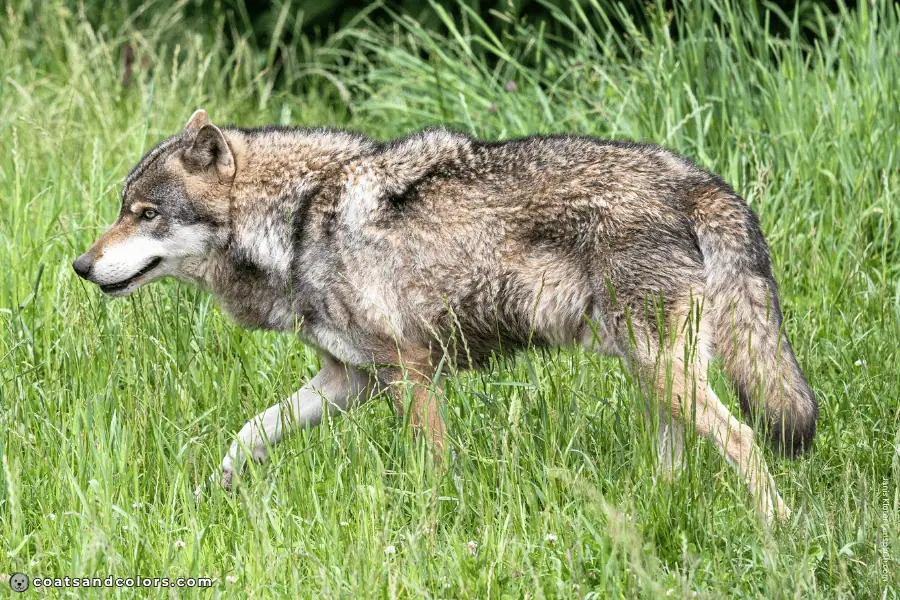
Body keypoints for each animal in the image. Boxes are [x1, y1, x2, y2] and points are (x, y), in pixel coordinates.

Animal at [73, 109, 817, 522]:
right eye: (122, 209)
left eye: (146, 214)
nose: (80, 266)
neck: (299, 221)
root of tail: (697, 180)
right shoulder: (347, 380)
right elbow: (248, 433)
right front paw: (215, 490)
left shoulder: (409, 371)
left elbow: (433, 467)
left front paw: (435, 528)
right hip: (654, 371)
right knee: (681, 455)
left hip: (663, 368)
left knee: (743, 439)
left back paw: (781, 531)